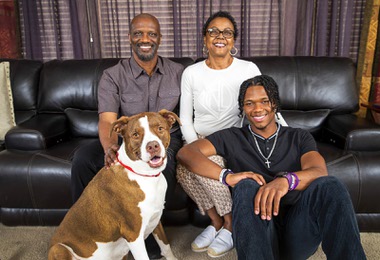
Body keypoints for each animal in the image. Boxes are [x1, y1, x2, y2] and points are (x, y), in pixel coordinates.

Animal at [48, 109, 180, 260]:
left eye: (160, 128)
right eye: (135, 135)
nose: (152, 146)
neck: (145, 176)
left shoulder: (156, 219)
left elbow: (166, 246)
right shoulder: (133, 235)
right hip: (58, 248)